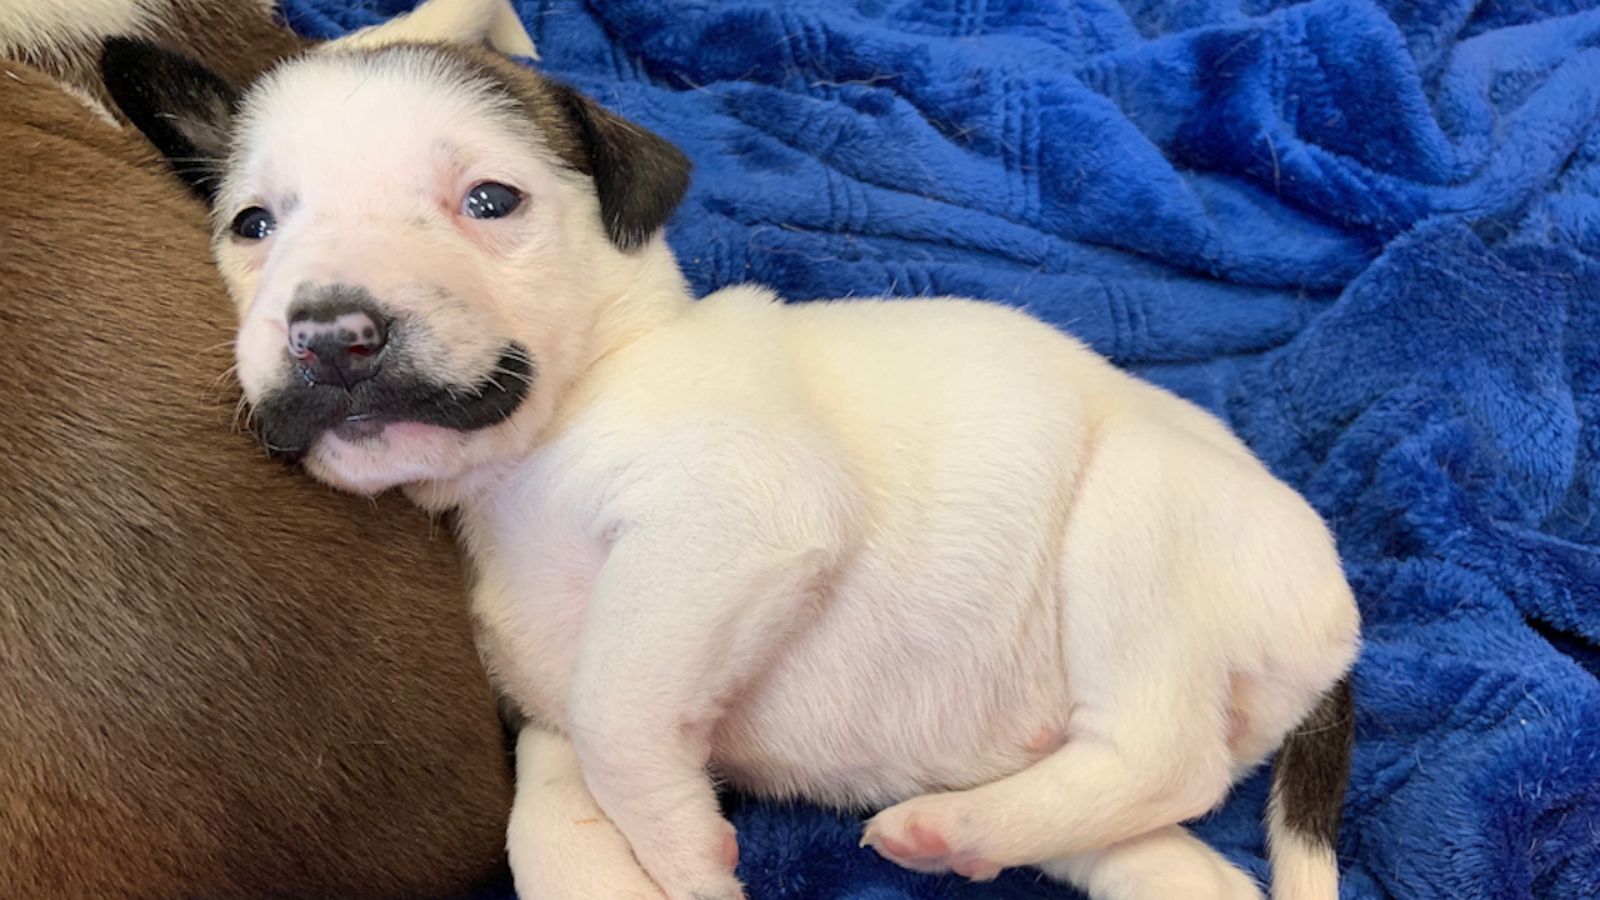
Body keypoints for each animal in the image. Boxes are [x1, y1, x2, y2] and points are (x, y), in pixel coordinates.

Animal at [109, 19, 1363, 896]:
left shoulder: (725, 520)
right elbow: (551, 810)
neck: (533, 454)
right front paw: (623, 870)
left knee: (1160, 750)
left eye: (489, 200)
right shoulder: (546, 702)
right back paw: (976, 832)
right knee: (1177, 858)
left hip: (1137, 535)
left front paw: (684, 856)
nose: (329, 334)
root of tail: (1339, 633)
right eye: (253, 226)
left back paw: (954, 826)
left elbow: (617, 713)